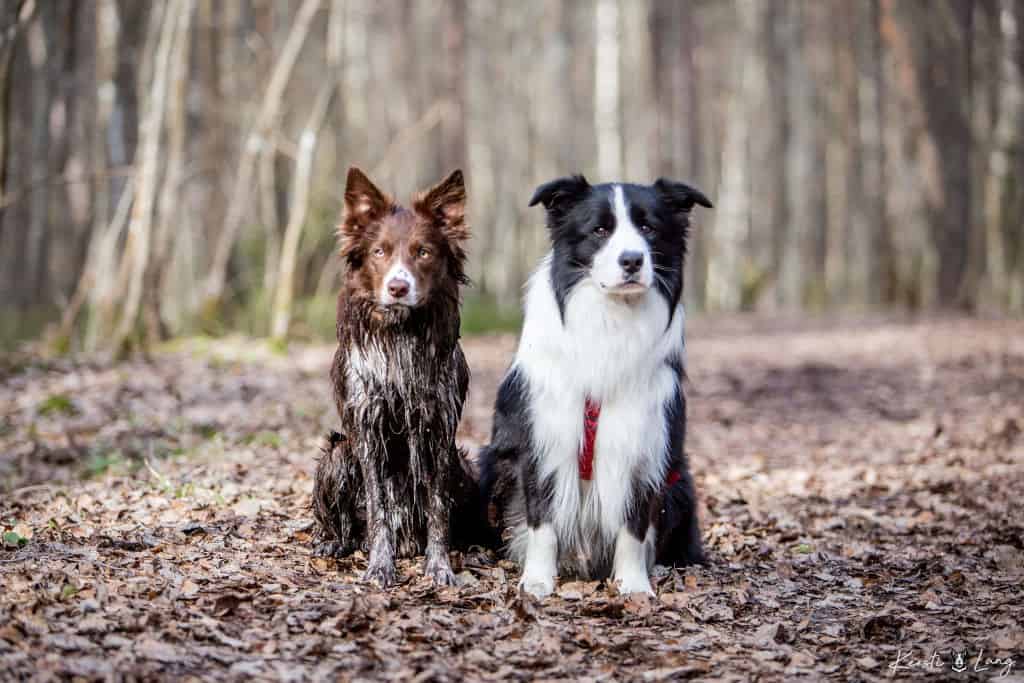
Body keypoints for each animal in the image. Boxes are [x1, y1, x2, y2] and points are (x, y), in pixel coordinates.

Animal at [311, 166, 487, 589]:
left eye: (423, 252)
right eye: (379, 252)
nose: (398, 287)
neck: (400, 335)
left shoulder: (438, 428)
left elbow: (439, 508)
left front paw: (440, 567)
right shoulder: (367, 427)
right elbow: (378, 509)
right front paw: (379, 566)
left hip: (464, 467)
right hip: (337, 455)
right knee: (344, 526)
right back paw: (333, 542)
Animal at [481, 176, 712, 598]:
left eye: (649, 227)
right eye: (600, 230)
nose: (632, 260)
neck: (611, 317)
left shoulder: (643, 444)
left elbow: (634, 527)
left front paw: (633, 585)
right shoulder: (543, 439)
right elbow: (543, 522)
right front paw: (537, 581)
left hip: (680, 481)